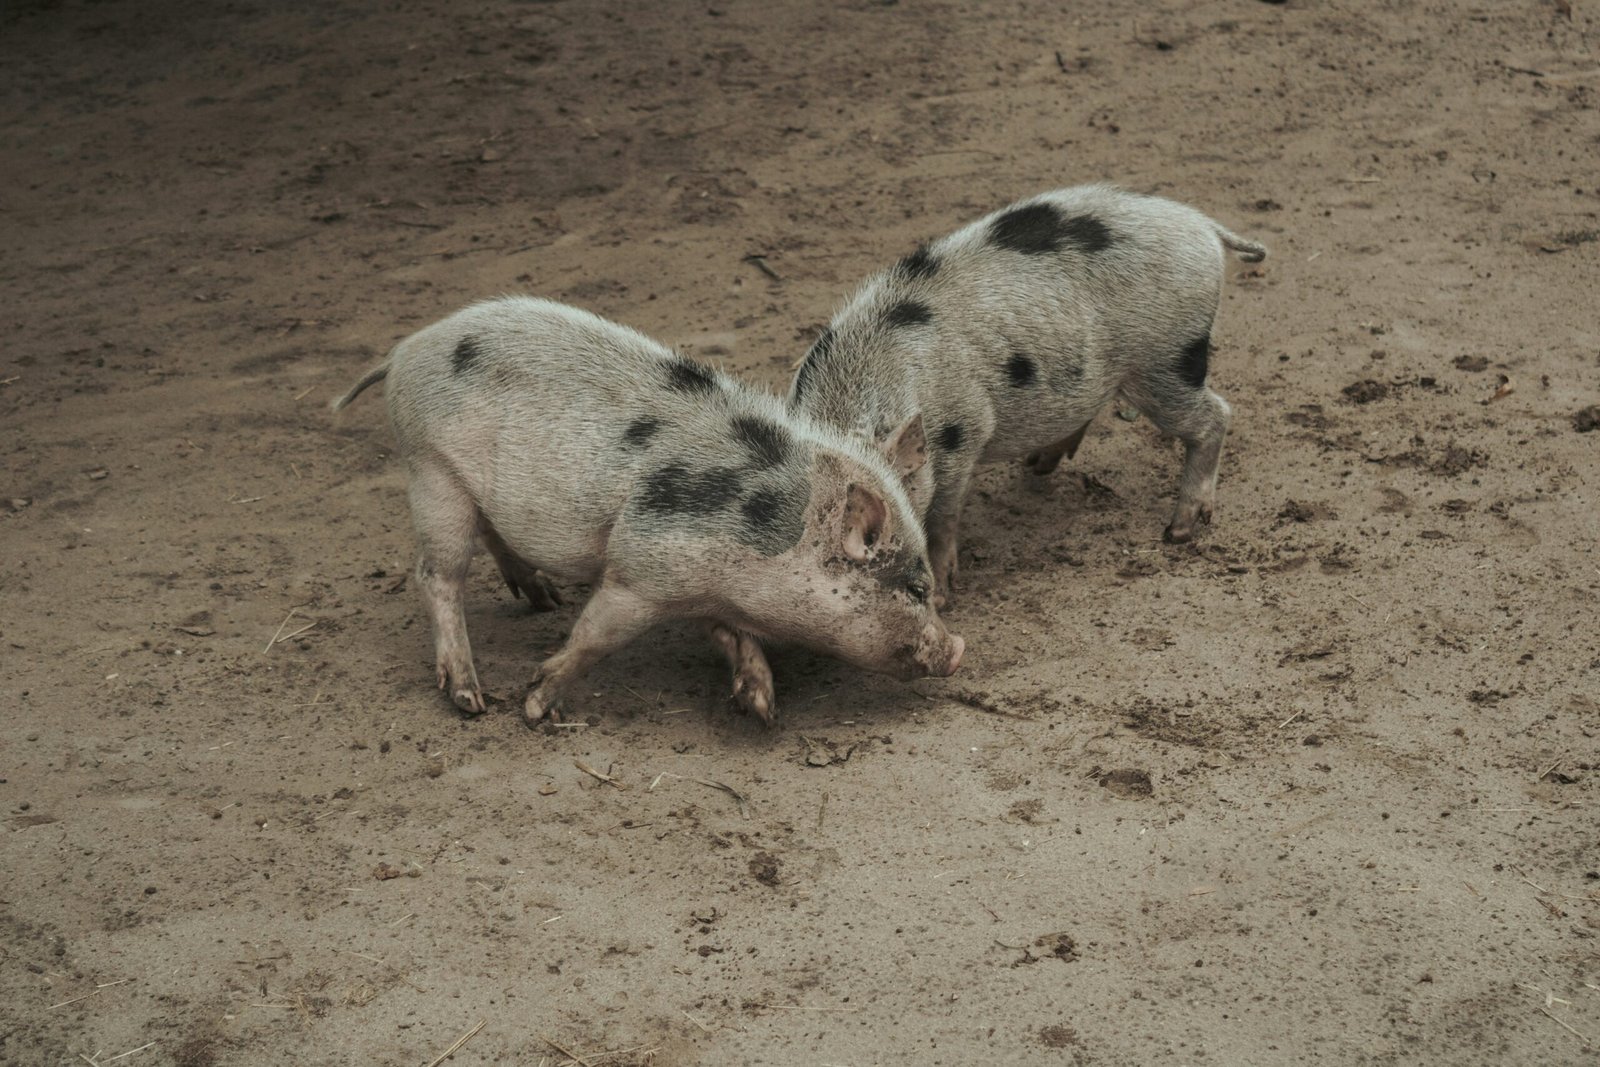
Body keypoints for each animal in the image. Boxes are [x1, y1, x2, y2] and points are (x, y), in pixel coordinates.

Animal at [332, 296, 963, 727]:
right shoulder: (639, 571)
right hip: (430, 469)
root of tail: (404, 350)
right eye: (914, 587)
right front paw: (535, 708)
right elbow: (594, 637)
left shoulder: (704, 588)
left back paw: (543, 599)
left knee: (490, 537)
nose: (958, 650)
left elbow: (730, 634)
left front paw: (761, 706)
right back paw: (471, 698)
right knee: (437, 576)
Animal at [787, 184, 1267, 604]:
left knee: (1216, 416)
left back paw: (1179, 531)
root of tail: (1204, 226)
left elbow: (942, 517)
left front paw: (943, 596)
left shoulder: (964, 430)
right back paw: (1038, 465)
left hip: (1167, 359)